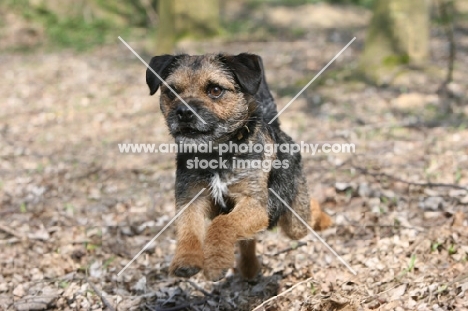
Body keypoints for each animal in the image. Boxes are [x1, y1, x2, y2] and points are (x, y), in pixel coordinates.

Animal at [146, 53, 332, 282]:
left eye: (215, 90)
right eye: (171, 91)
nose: (183, 112)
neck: (217, 154)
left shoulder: (254, 203)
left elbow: (222, 224)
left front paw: (215, 263)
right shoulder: (191, 199)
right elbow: (188, 228)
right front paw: (186, 260)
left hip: (295, 219)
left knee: (305, 215)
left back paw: (325, 220)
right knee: (246, 238)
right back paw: (249, 266)